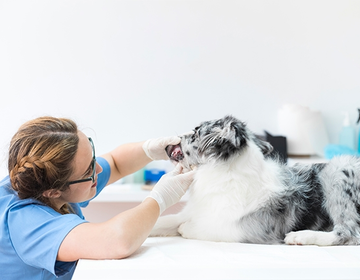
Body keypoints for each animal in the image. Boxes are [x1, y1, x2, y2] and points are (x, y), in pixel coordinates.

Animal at [150, 114, 360, 245]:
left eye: (195, 133)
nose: (173, 139)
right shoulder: (192, 211)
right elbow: (163, 219)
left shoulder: (252, 228)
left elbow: (206, 227)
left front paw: (185, 229)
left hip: (339, 170)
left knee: (350, 233)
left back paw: (300, 237)